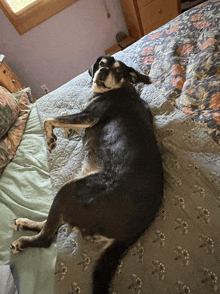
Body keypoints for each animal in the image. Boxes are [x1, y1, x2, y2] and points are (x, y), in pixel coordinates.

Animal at [11, 55, 164, 294]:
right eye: (102, 63)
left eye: (118, 70)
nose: (103, 71)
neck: (119, 89)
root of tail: (135, 230)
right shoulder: (82, 119)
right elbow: (63, 117)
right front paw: (60, 133)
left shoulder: (89, 116)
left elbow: (50, 118)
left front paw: (50, 138)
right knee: (51, 225)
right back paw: (26, 223)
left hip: (69, 190)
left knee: (48, 237)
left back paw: (25, 241)